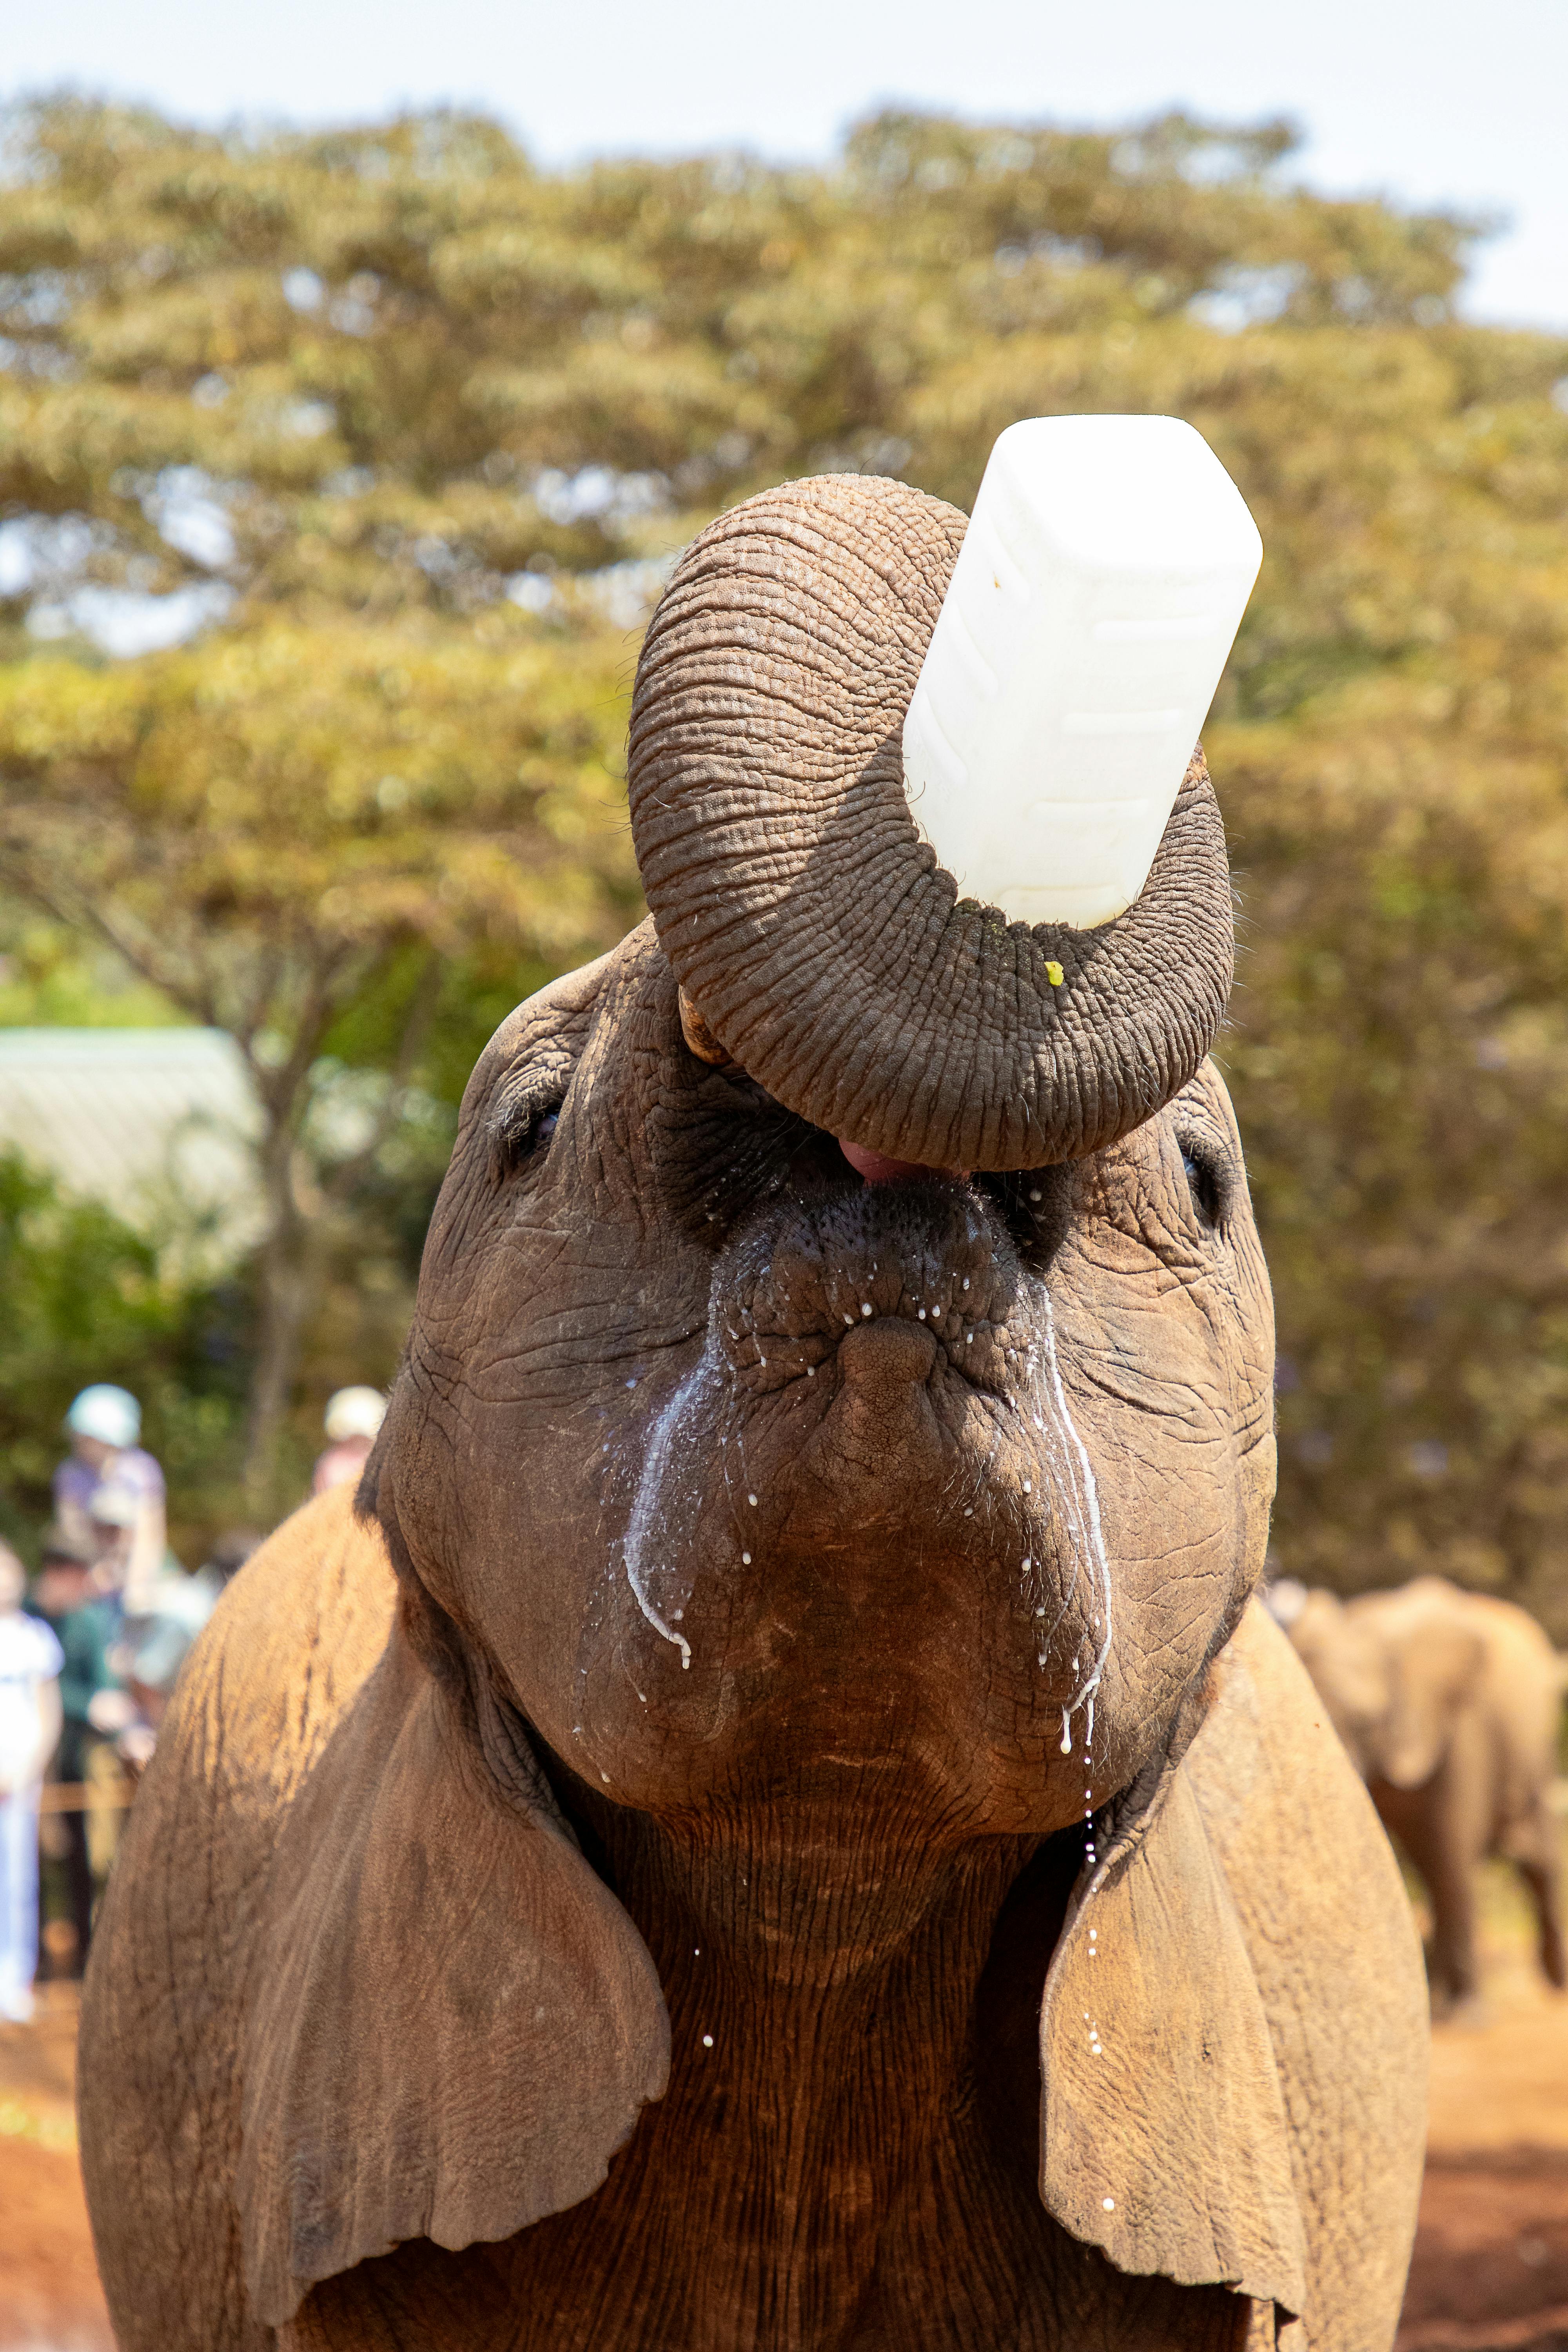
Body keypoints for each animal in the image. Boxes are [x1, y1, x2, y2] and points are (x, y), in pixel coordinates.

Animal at [1281, 1573, 1566, 2016]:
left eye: (1368, 1722)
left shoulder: (1461, 1731)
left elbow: (1453, 1857)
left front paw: (1467, 2016)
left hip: (1535, 1747)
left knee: (1535, 1856)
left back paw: (1551, 1984)